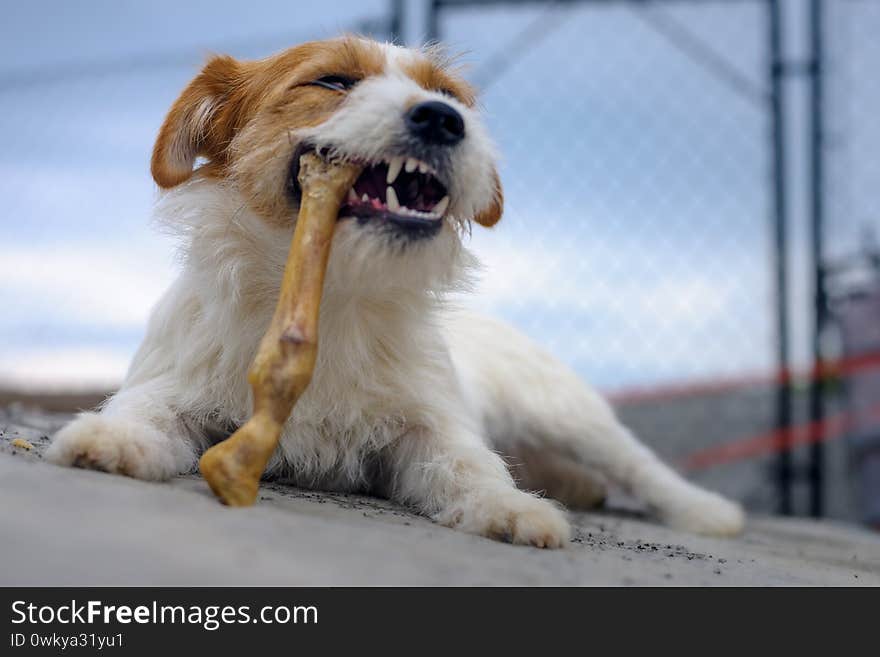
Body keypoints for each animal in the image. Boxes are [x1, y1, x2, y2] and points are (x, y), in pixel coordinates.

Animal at [46, 37, 744, 548]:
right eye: (332, 82)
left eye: (448, 95)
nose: (443, 119)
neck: (333, 292)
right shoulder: (180, 387)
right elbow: (145, 411)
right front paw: (108, 440)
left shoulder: (428, 428)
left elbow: (469, 464)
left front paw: (511, 507)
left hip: (568, 414)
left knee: (640, 466)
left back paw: (707, 512)